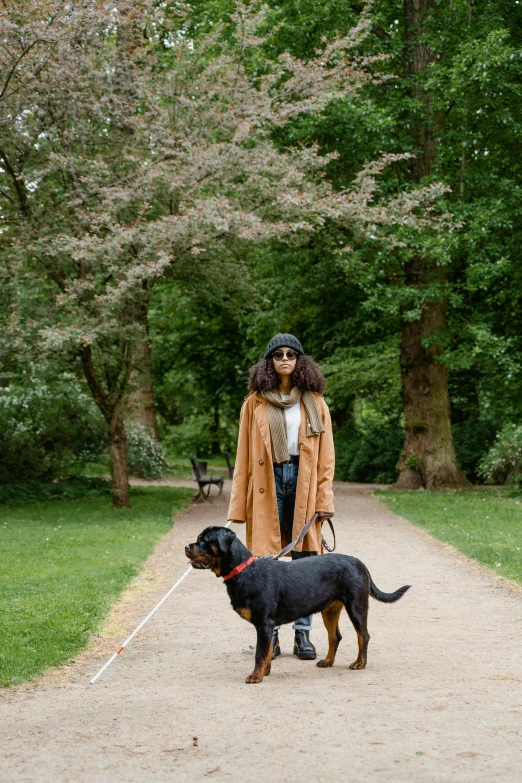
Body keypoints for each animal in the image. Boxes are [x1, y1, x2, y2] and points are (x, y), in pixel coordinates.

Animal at [185, 528, 408, 688]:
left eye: (205, 539)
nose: (187, 546)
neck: (244, 571)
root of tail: (360, 563)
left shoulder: (263, 624)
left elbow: (259, 653)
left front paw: (255, 676)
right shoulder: (268, 626)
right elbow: (268, 651)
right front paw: (265, 671)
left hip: (356, 606)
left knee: (363, 635)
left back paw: (360, 663)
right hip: (330, 609)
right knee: (335, 636)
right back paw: (327, 661)